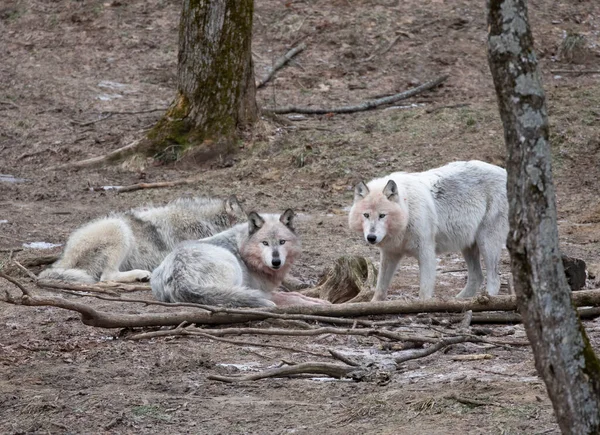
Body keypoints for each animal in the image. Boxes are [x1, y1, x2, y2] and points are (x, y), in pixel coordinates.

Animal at [150, 210, 328, 306]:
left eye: (282, 242)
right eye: (265, 243)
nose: (276, 262)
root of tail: (179, 278)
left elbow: (297, 294)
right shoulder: (260, 290)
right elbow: (290, 297)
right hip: (232, 266)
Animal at [350, 162, 508, 302]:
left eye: (382, 215)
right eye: (366, 215)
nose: (371, 237)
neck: (408, 210)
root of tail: (505, 172)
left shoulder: (426, 252)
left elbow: (424, 291)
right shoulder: (390, 253)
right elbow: (380, 289)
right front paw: (374, 305)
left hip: (486, 242)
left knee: (494, 279)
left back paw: (488, 300)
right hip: (468, 246)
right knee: (477, 276)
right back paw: (460, 300)